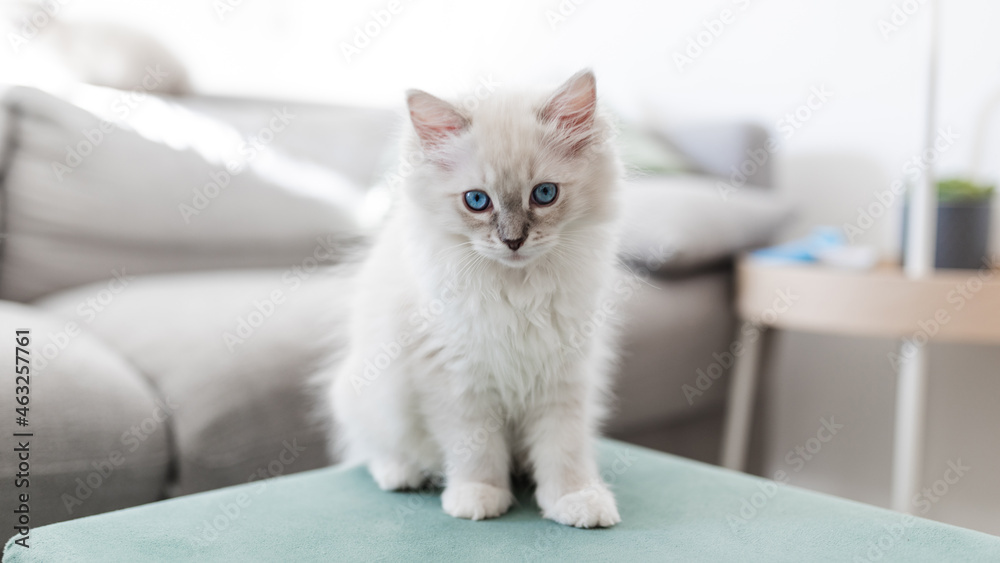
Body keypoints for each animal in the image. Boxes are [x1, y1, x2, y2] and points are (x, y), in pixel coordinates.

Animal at [328, 70, 620, 528]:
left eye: (545, 194)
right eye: (477, 201)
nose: (513, 241)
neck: (517, 293)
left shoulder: (563, 375)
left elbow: (564, 449)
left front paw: (576, 500)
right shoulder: (456, 377)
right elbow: (475, 449)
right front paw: (478, 497)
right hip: (365, 396)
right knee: (375, 450)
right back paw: (401, 474)